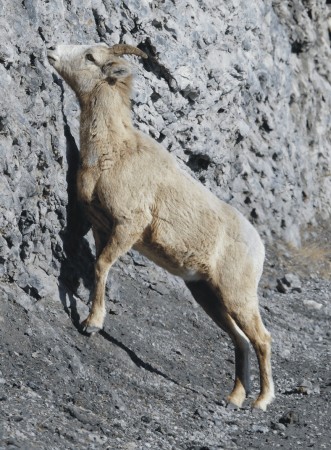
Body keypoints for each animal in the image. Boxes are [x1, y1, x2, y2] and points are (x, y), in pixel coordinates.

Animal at [46, 43, 274, 412]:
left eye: (91, 57)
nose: (52, 49)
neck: (113, 151)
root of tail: (259, 246)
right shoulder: (101, 228)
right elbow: (97, 269)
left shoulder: (129, 226)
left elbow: (102, 265)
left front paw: (91, 324)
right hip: (207, 295)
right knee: (240, 340)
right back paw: (234, 398)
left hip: (237, 294)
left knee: (262, 339)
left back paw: (261, 402)